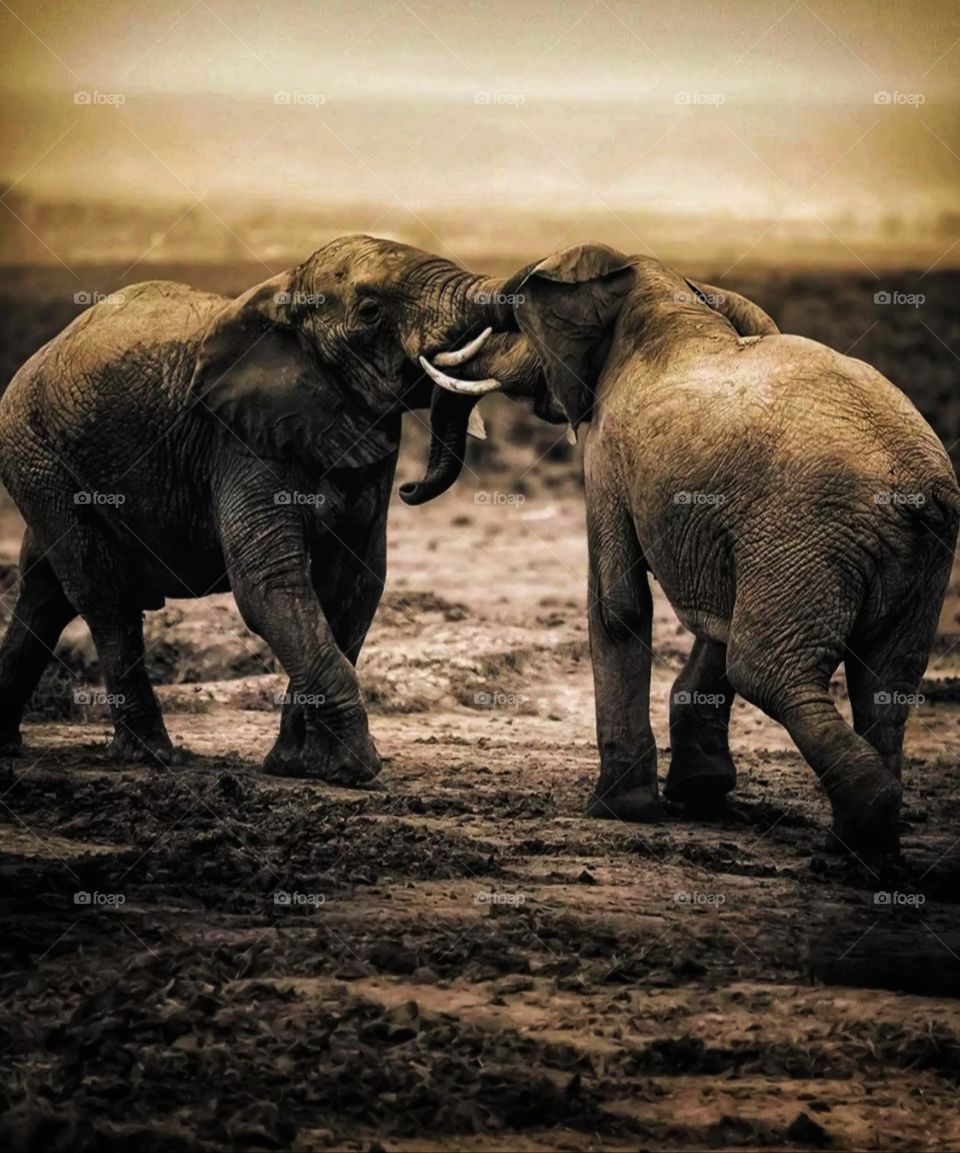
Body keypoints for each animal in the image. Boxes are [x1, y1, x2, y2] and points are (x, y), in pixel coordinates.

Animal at [0, 235, 506, 785]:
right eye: (371, 311)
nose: (411, 490)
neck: (287, 292)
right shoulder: (240, 439)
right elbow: (269, 581)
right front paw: (356, 769)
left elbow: (355, 582)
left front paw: (299, 766)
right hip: (36, 454)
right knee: (103, 594)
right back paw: (153, 757)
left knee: (45, 593)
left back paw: (11, 745)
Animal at [406, 243, 960, 856]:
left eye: (509, 323)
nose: (406, 491)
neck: (665, 288)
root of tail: (916, 484)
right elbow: (715, 623)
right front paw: (699, 796)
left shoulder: (607, 448)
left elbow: (618, 604)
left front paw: (618, 811)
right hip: (916, 556)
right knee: (888, 680)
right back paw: (864, 844)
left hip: (807, 533)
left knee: (768, 671)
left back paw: (856, 836)